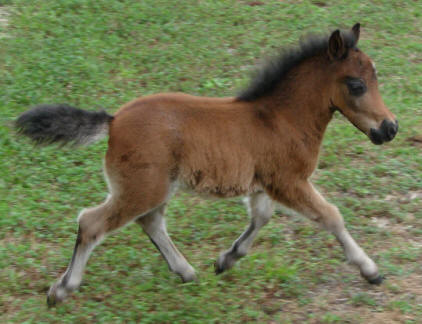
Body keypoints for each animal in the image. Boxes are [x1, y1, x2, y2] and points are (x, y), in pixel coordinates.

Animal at [16, 24, 398, 306]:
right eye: (356, 85)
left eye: (376, 77)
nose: (390, 128)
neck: (280, 118)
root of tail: (113, 121)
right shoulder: (289, 181)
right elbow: (331, 216)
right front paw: (370, 270)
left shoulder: (266, 184)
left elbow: (261, 218)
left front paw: (226, 259)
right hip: (142, 189)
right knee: (92, 223)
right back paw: (61, 290)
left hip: (155, 188)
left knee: (150, 222)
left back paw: (185, 272)